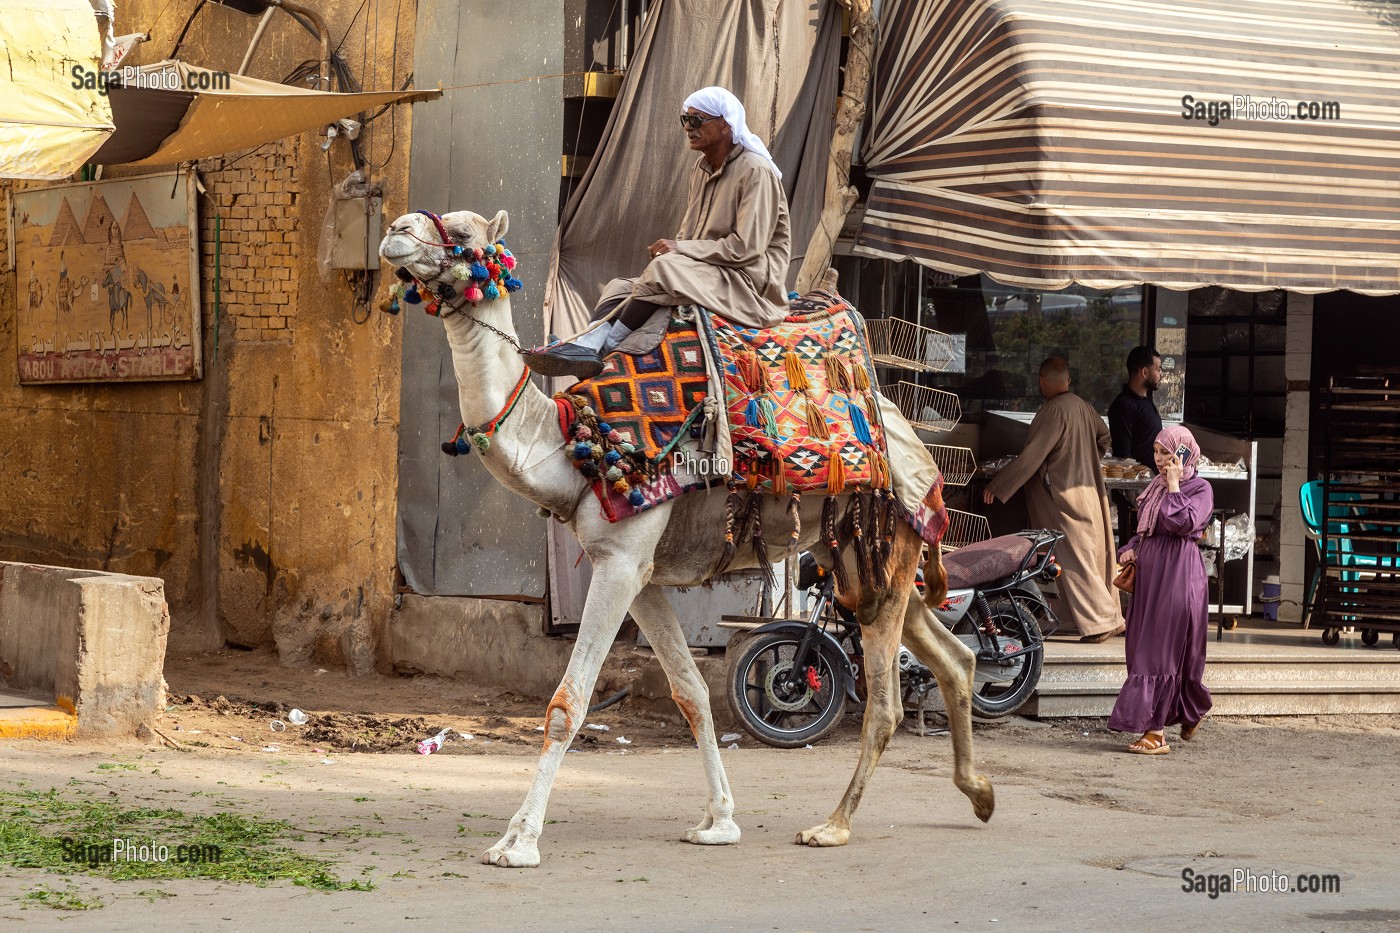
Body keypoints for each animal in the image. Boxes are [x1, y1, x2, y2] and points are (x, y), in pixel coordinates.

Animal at [378, 208, 991, 862]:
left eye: (465, 235)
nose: (397, 229)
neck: (572, 446)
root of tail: (918, 445)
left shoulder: (621, 560)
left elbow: (569, 702)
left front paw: (518, 840)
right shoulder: (638, 573)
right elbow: (692, 692)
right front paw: (719, 821)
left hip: (882, 538)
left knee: (885, 702)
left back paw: (833, 825)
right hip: (861, 557)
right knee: (952, 656)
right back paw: (979, 794)